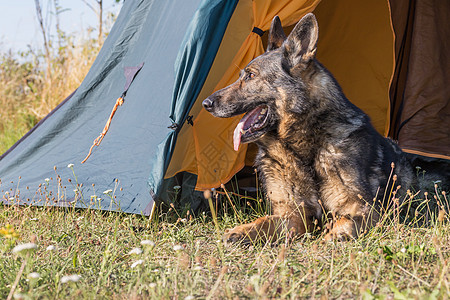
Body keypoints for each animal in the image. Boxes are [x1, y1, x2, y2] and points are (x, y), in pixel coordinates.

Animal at [202, 14, 414, 244]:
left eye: (250, 75)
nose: (206, 103)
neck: (303, 149)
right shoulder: (292, 214)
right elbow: (263, 222)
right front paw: (240, 231)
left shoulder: (364, 209)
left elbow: (345, 221)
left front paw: (333, 237)